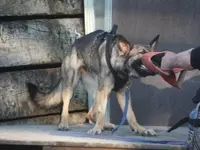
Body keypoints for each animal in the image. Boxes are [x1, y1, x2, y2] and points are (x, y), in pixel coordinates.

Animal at [26, 28, 160, 137]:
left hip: (99, 91)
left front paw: (140, 129)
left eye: (153, 52)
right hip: (73, 86)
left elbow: (130, 114)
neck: (119, 67)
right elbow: (101, 111)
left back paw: (105, 125)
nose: (157, 59)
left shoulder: (123, 93)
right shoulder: (104, 90)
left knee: (91, 114)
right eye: (142, 53)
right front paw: (97, 129)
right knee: (67, 105)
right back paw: (64, 124)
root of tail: (74, 44)